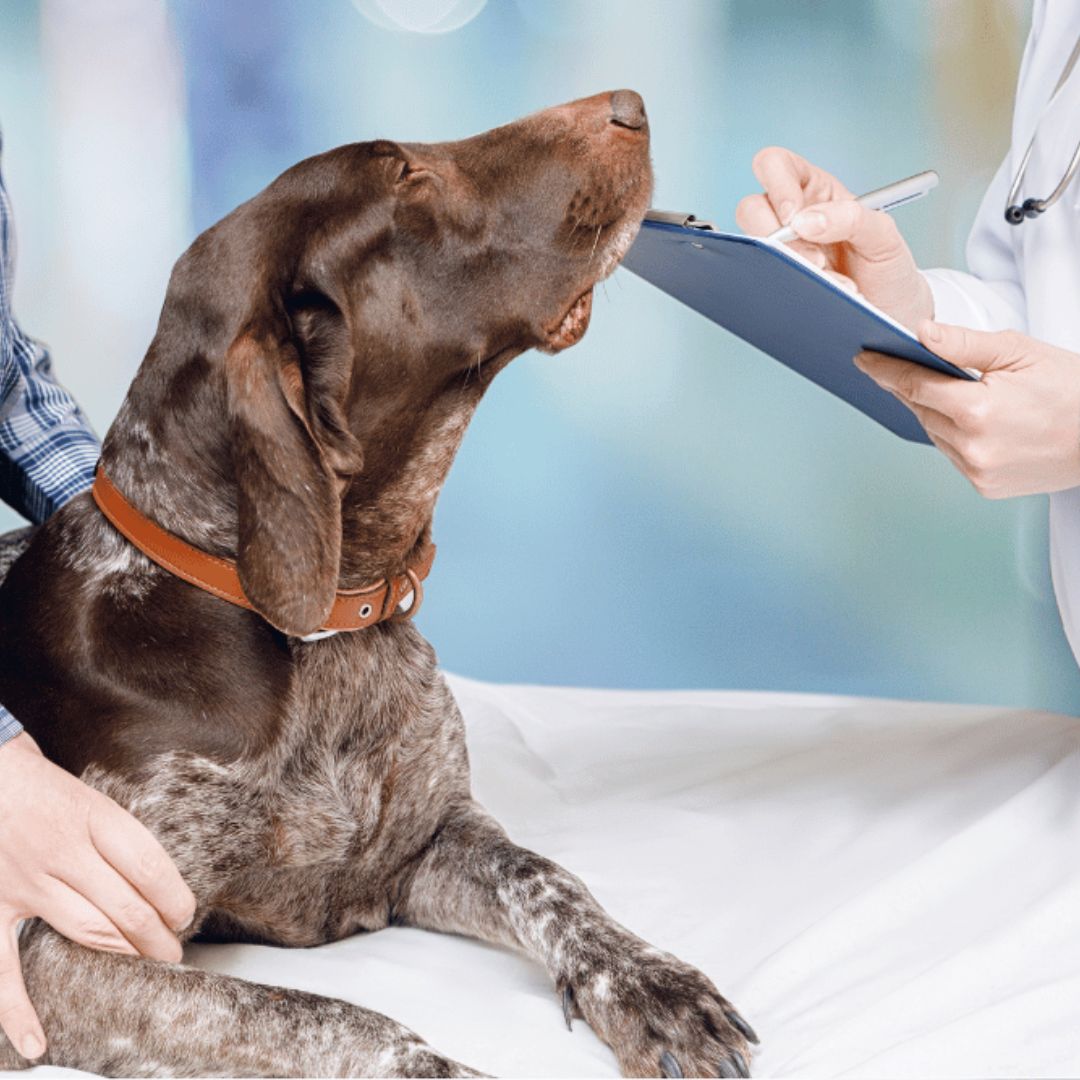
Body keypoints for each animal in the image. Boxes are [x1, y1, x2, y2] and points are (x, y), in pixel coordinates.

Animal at [0, 90, 756, 1071]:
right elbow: (326, 1016)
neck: (323, 631)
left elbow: (549, 878)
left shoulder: (427, 844)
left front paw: (648, 983)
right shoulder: (58, 953)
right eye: (408, 178)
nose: (628, 105)